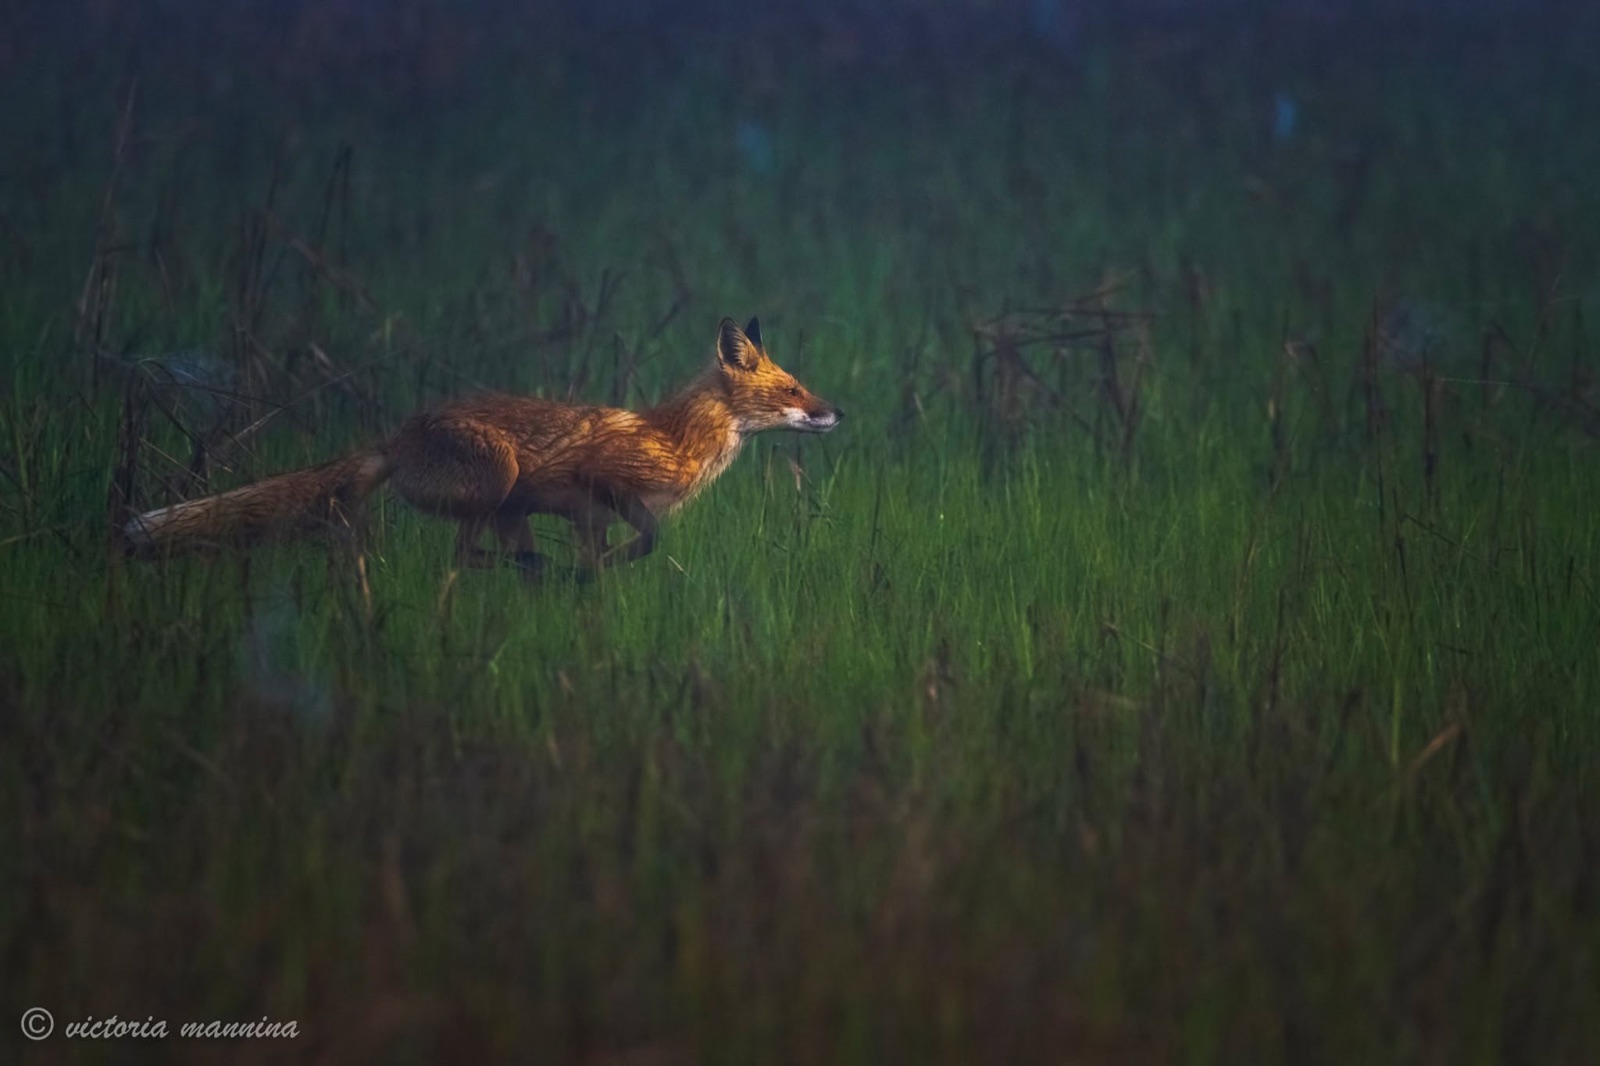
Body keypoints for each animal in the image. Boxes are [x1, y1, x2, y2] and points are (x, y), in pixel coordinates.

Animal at [124, 316, 843, 573]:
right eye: (793, 388)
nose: (836, 411)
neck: (676, 439)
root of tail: (397, 436)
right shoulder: (602, 487)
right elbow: (645, 538)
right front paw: (601, 572)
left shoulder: (589, 515)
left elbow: (618, 549)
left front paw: (597, 584)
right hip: (499, 482)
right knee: (463, 556)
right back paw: (531, 570)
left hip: (509, 509)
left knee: (481, 555)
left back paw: (535, 570)